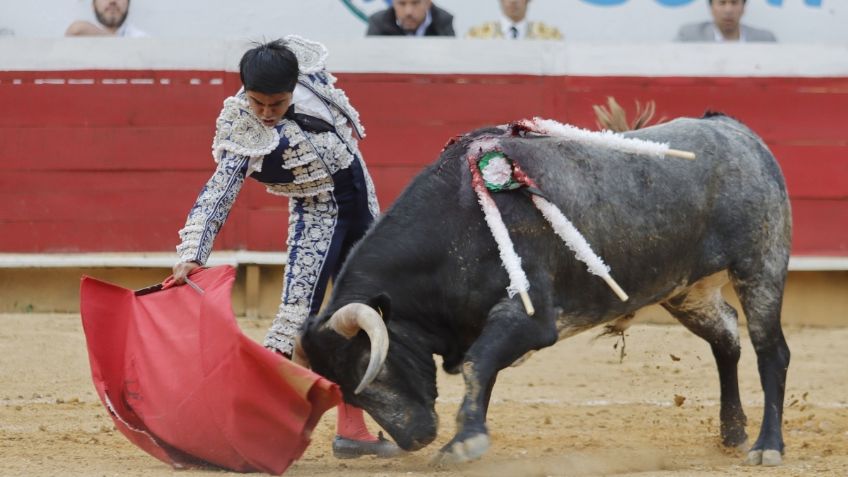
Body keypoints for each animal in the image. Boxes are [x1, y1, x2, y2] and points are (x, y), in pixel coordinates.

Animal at [300, 112, 796, 464]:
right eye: (346, 389)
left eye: (372, 368)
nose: (415, 438)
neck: (458, 224)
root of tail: (736, 131)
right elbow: (483, 371)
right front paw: (466, 436)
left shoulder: (532, 317)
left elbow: (478, 364)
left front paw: (463, 443)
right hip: (686, 289)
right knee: (726, 337)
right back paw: (733, 431)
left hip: (761, 265)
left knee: (770, 350)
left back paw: (767, 446)